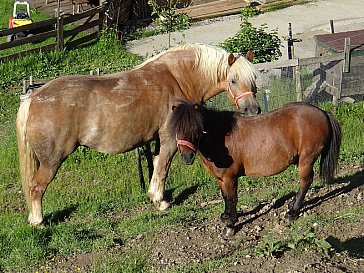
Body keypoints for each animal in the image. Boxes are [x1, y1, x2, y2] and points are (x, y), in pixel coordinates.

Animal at [17, 43, 260, 225]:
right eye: (233, 80)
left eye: (254, 79)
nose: (253, 109)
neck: (177, 77)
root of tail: (33, 98)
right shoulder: (171, 140)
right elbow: (162, 169)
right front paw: (160, 202)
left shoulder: (158, 141)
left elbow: (156, 165)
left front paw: (153, 196)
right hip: (52, 160)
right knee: (36, 187)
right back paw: (38, 221)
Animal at [168, 101, 342, 233]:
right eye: (176, 129)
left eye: (197, 128)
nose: (187, 157)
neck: (221, 137)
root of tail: (322, 112)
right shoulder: (220, 179)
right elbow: (225, 197)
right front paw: (225, 216)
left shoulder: (230, 178)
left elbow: (232, 198)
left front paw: (231, 224)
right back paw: (292, 205)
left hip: (306, 160)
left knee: (305, 182)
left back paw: (292, 212)